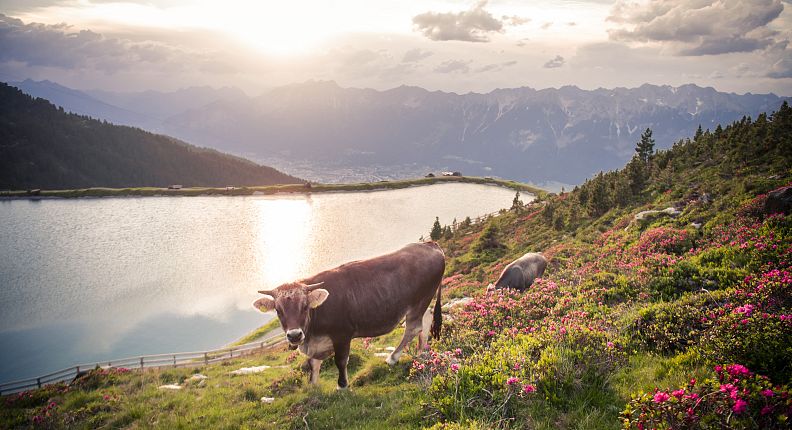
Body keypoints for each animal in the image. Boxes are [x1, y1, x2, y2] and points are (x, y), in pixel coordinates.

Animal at [252, 242, 446, 390]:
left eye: (305, 306)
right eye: (278, 310)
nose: (294, 335)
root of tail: (430, 245)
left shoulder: (342, 334)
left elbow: (340, 360)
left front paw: (342, 385)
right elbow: (313, 364)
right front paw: (313, 386)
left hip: (419, 301)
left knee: (413, 328)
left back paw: (392, 358)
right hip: (423, 302)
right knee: (425, 321)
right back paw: (421, 352)